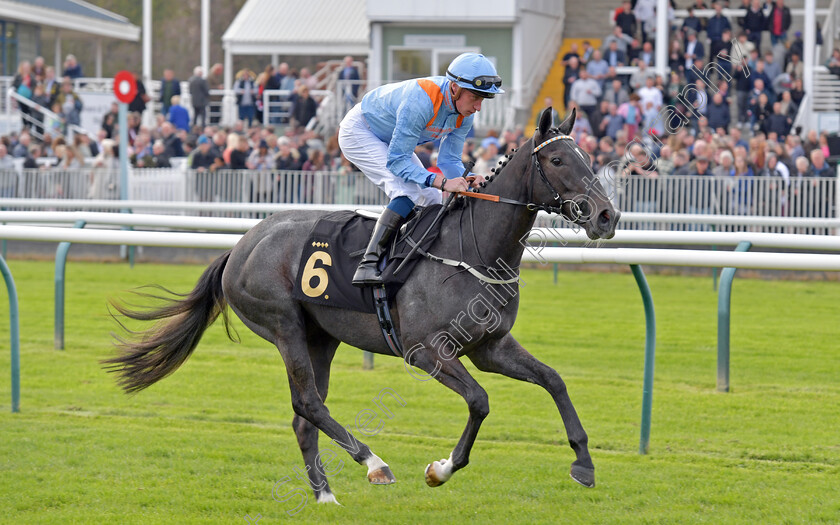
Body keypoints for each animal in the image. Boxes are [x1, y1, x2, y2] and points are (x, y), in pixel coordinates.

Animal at [103, 107, 616, 504]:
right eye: (557, 159)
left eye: (588, 157)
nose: (607, 216)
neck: (472, 251)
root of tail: (242, 244)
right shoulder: (426, 350)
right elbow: (479, 400)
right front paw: (441, 469)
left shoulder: (490, 347)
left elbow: (554, 380)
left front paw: (584, 465)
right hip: (284, 325)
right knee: (308, 401)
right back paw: (373, 462)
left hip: (321, 337)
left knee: (304, 416)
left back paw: (325, 495)